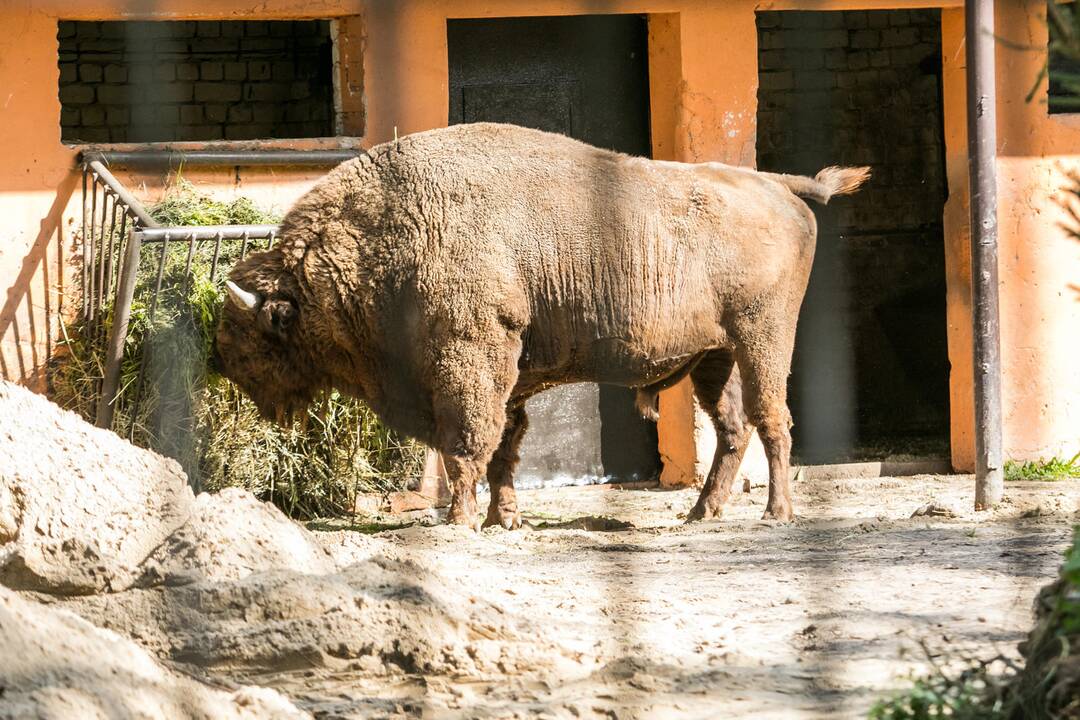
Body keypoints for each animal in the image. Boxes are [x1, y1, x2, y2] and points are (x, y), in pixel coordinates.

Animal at [214, 122, 864, 528]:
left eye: (251, 337)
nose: (232, 377)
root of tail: (778, 184)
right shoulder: (512, 376)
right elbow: (505, 446)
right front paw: (505, 519)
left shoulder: (471, 361)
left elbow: (467, 444)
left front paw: (460, 521)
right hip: (714, 355)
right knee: (732, 429)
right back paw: (701, 513)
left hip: (762, 338)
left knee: (772, 420)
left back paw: (776, 513)